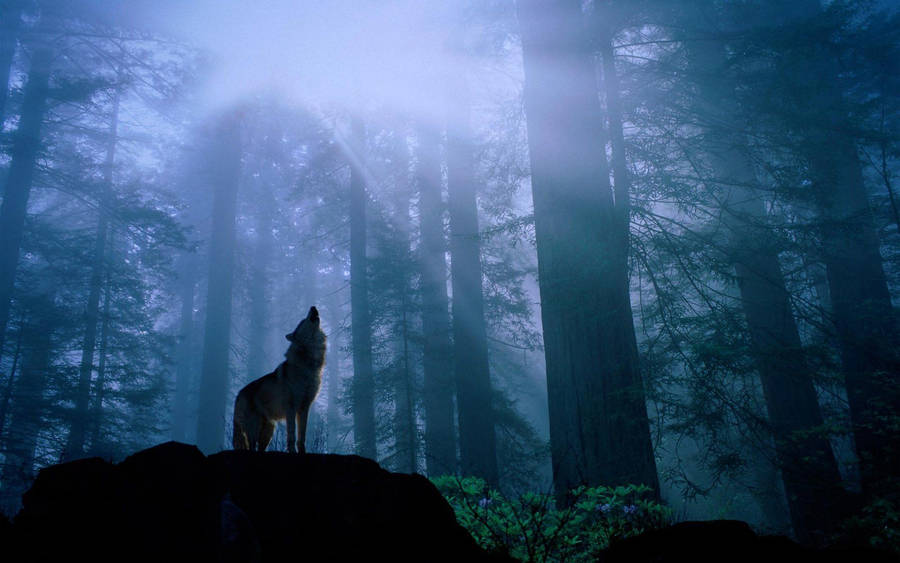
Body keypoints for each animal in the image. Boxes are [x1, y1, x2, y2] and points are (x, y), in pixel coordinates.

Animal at [232, 306, 326, 453]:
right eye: (302, 321)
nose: (313, 307)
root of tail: (238, 394)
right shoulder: (291, 408)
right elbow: (292, 436)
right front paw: (292, 452)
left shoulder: (304, 408)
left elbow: (302, 437)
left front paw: (302, 452)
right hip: (254, 429)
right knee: (252, 447)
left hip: (268, 431)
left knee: (260, 448)